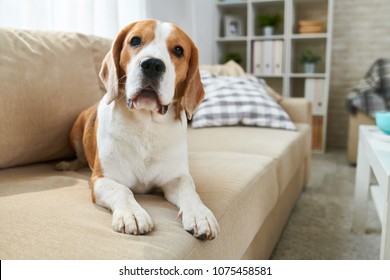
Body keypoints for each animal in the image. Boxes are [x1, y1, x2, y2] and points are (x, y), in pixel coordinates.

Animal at [54, 19, 219, 240]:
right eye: (135, 40)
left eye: (178, 50)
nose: (152, 65)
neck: (146, 126)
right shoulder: (102, 179)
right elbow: (123, 190)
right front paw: (131, 214)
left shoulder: (176, 178)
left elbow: (190, 191)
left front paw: (200, 214)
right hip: (76, 131)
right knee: (79, 157)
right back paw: (67, 165)